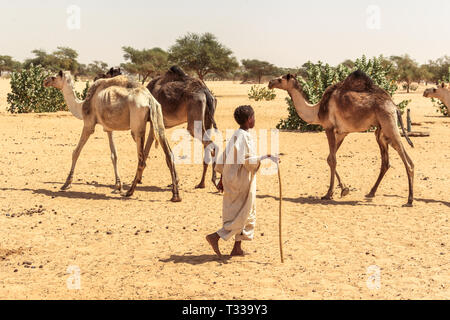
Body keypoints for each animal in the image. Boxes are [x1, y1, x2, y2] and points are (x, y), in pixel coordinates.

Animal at [43, 72, 181, 202]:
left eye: (54, 77)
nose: (45, 81)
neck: (81, 105)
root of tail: (150, 100)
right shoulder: (108, 128)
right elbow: (114, 155)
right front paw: (118, 186)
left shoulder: (88, 124)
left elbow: (76, 152)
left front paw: (66, 183)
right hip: (158, 118)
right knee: (168, 153)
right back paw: (175, 195)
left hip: (137, 124)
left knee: (142, 159)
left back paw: (130, 192)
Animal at [268, 70, 414, 205]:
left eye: (281, 79)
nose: (270, 83)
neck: (316, 111)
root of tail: (395, 107)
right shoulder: (342, 132)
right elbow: (329, 158)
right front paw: (344, 189)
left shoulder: (328, 127)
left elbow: (333, 160)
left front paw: (328, 194)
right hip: (382, 132)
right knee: (390, 160)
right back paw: (371, 193)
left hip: (388, 122)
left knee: (405, 159)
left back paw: (409, 200)